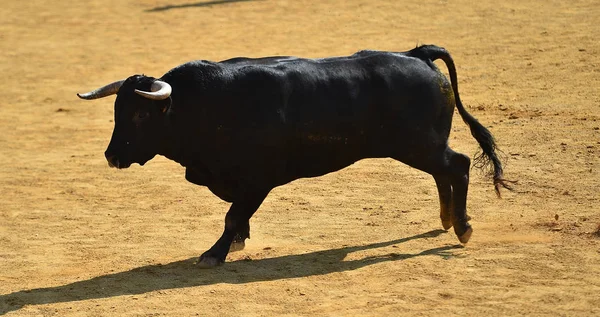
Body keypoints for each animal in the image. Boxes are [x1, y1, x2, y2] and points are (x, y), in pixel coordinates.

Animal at [78, 44, 510, 266]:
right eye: (116, 111)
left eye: (138, 114)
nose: (112, 156)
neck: (202, 104)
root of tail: (417, 54)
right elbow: (236, 213)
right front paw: (238, 241)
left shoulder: (258, 178)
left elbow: (232, 214)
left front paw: (216, 253)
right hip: (423, 146)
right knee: (444, 171)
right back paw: (447, 219)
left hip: (418, 144)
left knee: (458, 166)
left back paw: (463, 226)